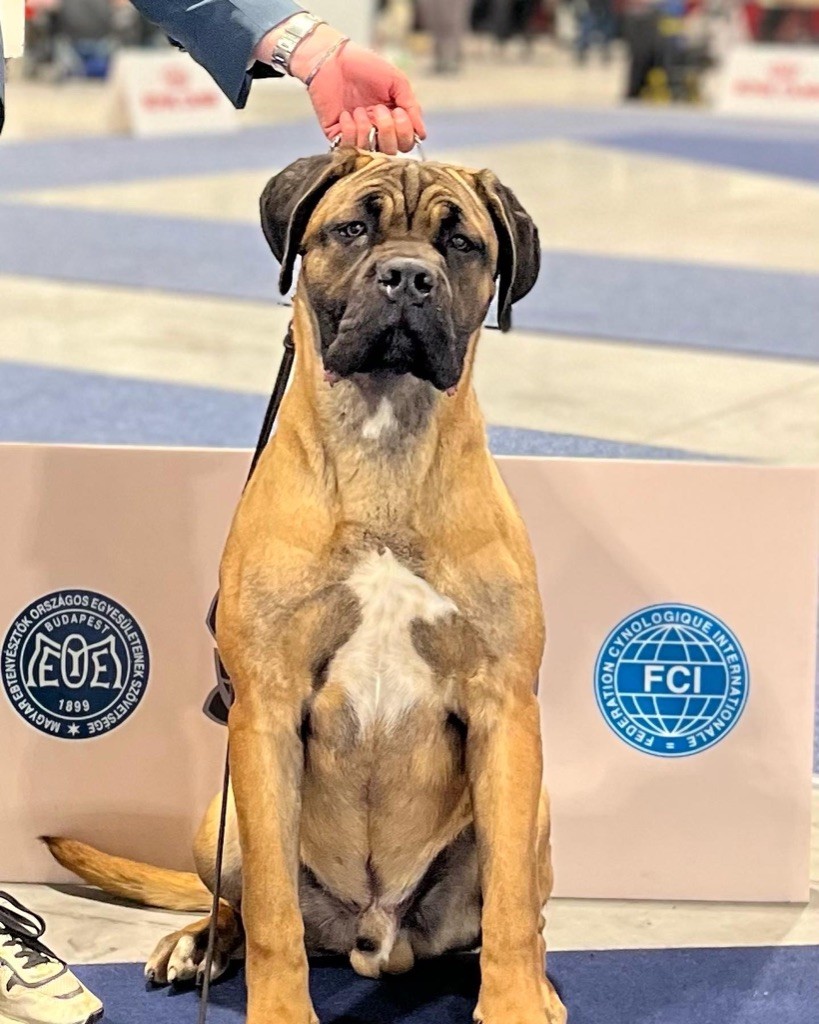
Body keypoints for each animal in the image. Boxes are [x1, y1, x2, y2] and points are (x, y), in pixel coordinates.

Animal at [46, 149, 567, 1024]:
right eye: (352, 228)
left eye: (461, 243)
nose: (407, 277)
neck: (383, 442)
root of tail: (374, 936)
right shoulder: (265, 709)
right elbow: (270, 912)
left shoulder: (504, 707)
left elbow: (508, 907)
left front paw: (517, 1005)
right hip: (218, 814)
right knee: (238, 900)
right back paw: (198, 942)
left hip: (533, 812)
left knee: (516, 907)